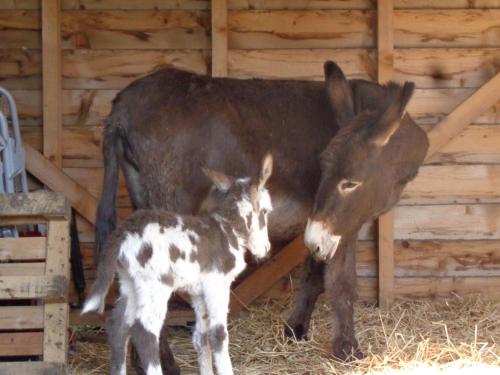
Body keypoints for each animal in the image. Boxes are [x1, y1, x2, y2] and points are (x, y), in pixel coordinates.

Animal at [83, 154, 276, 374]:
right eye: (265, 211)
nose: (266, 249)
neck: (228, 230)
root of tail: (123, 232)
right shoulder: (217, 285)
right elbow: (218, 336)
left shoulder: (198, 293)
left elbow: (201, 338)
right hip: (154, 287)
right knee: (144, 332)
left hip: (130, 283)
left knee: (118, 326)